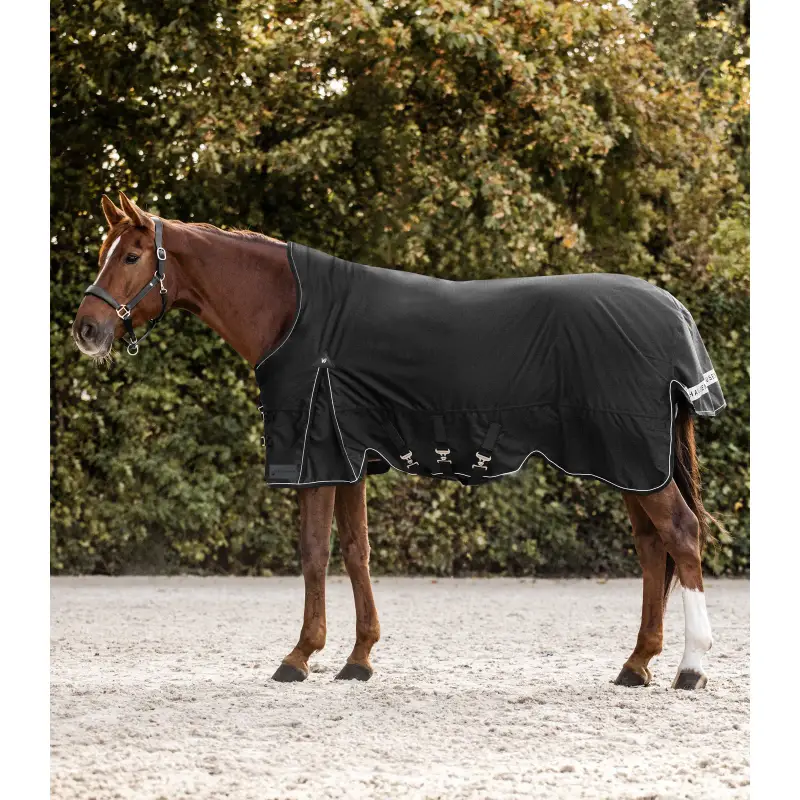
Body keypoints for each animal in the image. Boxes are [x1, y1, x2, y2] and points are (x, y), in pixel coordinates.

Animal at [72, 191, 718, 690]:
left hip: (633, 458)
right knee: (651, 547)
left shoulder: (316, 457)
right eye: (103, 254)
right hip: (631, 465)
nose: (86, 329)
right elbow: (356, 551)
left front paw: (299, 656)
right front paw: (358, 658)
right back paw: (637, 664)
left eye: (131, 255)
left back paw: (690, 667)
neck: (294, 312)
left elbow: (313, 553)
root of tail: (673, 312)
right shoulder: (349, 461)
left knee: (681, 535)